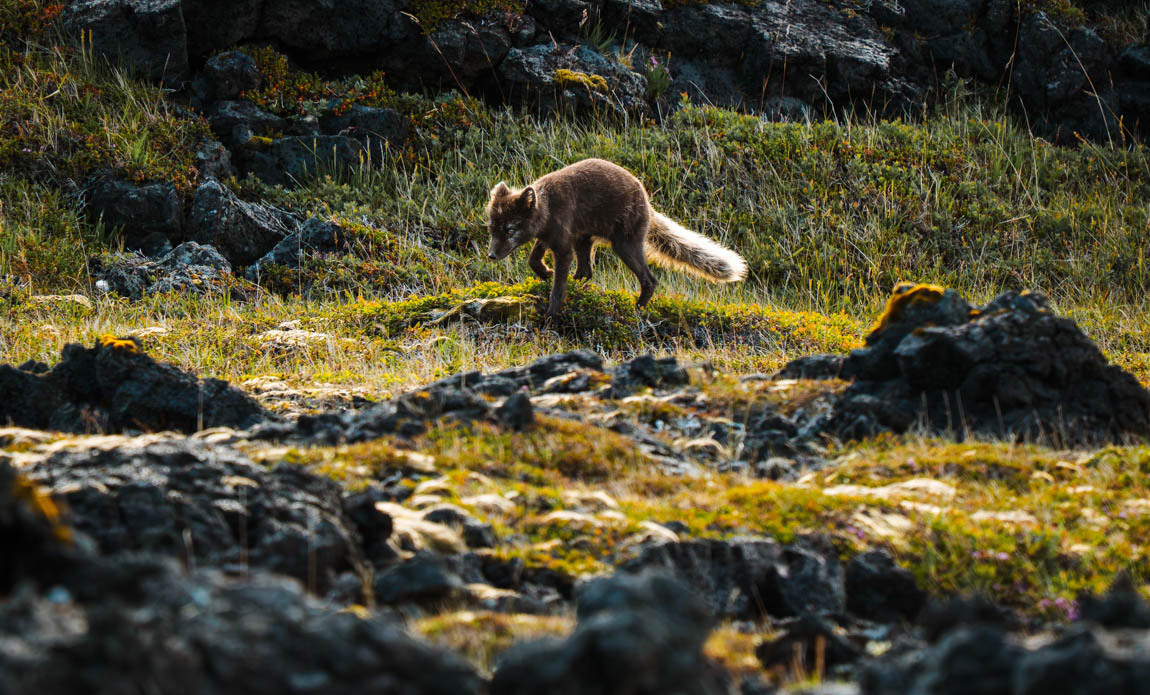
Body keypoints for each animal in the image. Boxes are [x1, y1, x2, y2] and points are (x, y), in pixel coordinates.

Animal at [485, 158, 747, 318]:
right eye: (492, 229)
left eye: (510, 230)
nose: (491, 255)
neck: (548, 207)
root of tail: (648, 203)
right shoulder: (551, 237)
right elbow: (533, 259)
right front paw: (545, 273)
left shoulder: (563, 246)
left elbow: (558, 287)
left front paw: (552, 314)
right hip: (586, 239)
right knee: (587, 271)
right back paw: (583, 287)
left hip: (624, 244)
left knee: (650, 279)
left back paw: (637, 308)